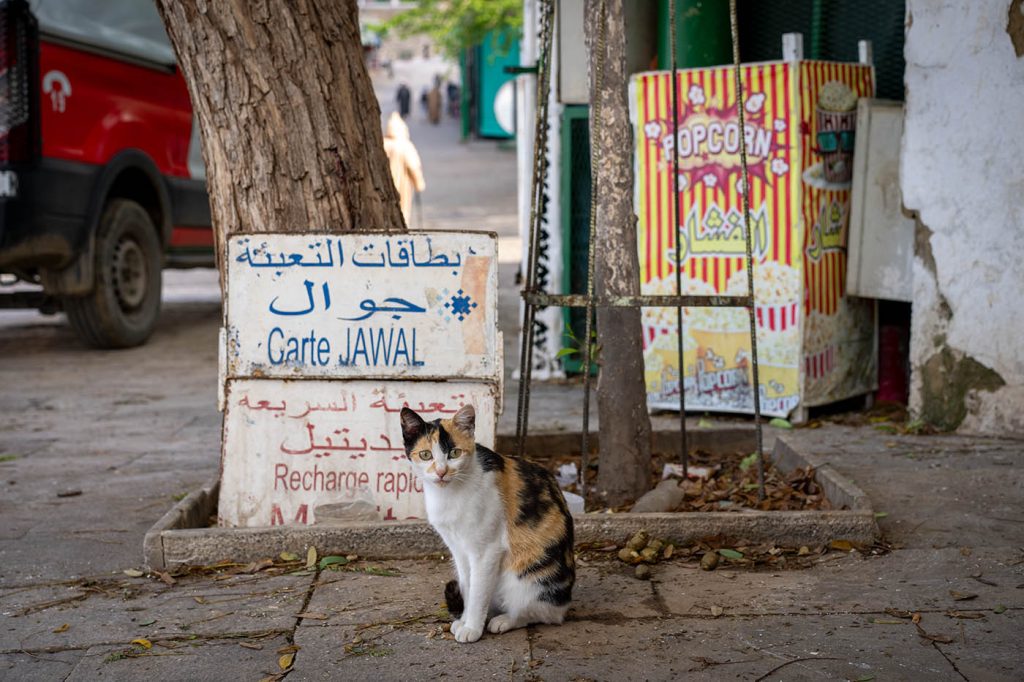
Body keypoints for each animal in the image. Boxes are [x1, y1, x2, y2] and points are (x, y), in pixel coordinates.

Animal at [399, 403, 577, 643]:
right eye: (425, 455)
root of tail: (566, 600)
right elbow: (468, 586)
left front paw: (472, 628)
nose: (441, 472)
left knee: (540, 613)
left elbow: (477, 592)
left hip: (528, 579)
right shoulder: (458, 550)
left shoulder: (486, 551)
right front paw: (465, 620)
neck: (449, 495)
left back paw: (504, 620)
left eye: (455, 453)